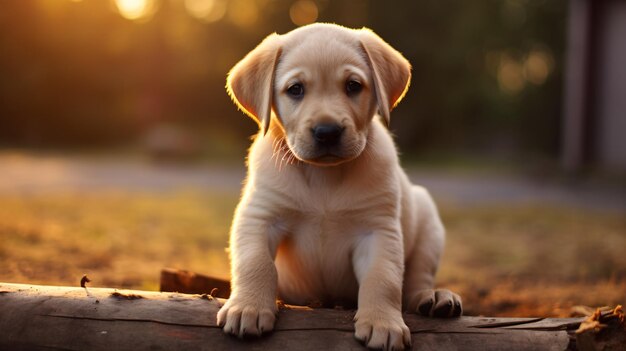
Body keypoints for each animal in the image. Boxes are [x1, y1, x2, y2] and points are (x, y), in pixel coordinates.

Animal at [217, 23, 460, 350]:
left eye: (353, 86)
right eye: (295, 89)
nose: (327, 132)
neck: (324, 177)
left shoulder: (377, 230)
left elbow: (383, 278)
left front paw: (383, 322)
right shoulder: (259, 217)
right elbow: (255, 263)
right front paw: (248, 307)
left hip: (428, 220)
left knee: (417, 279)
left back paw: (433, 297)